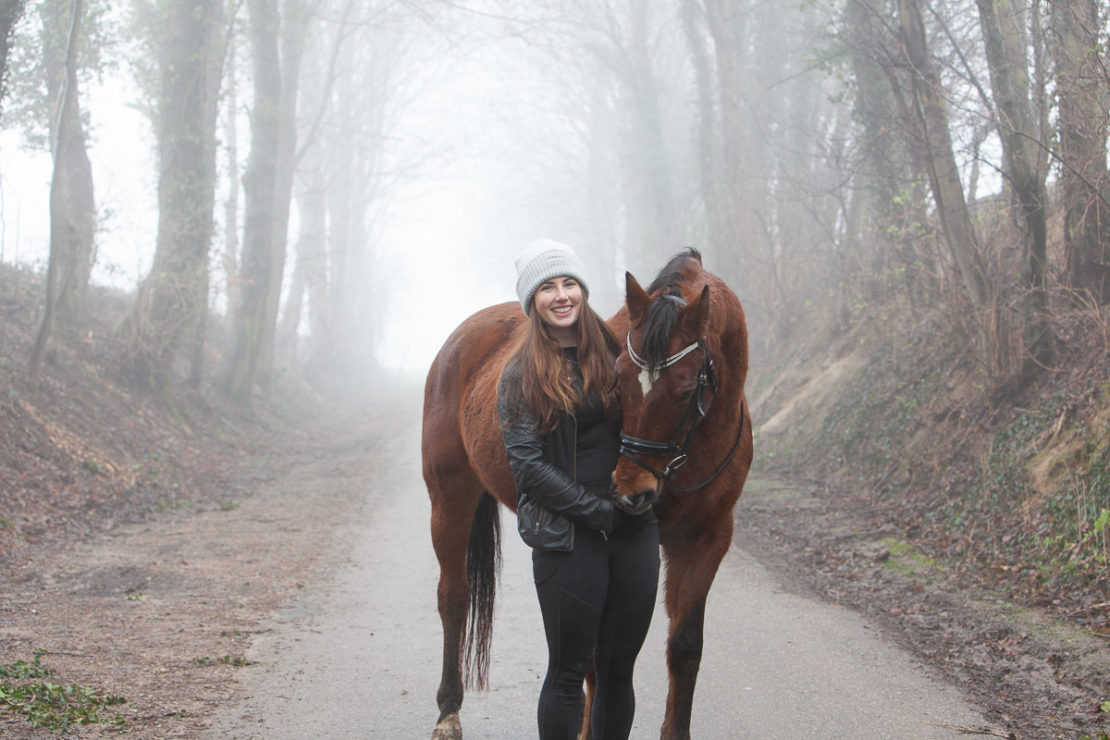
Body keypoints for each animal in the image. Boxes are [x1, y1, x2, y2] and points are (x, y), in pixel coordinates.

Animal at [419, 250, 750, 740]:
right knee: (454, 598)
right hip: (449, 500)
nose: (631, 490)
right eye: (619, 378)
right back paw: (448, 711)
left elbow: (685, 647)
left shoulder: (706, 539)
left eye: (688, 388)